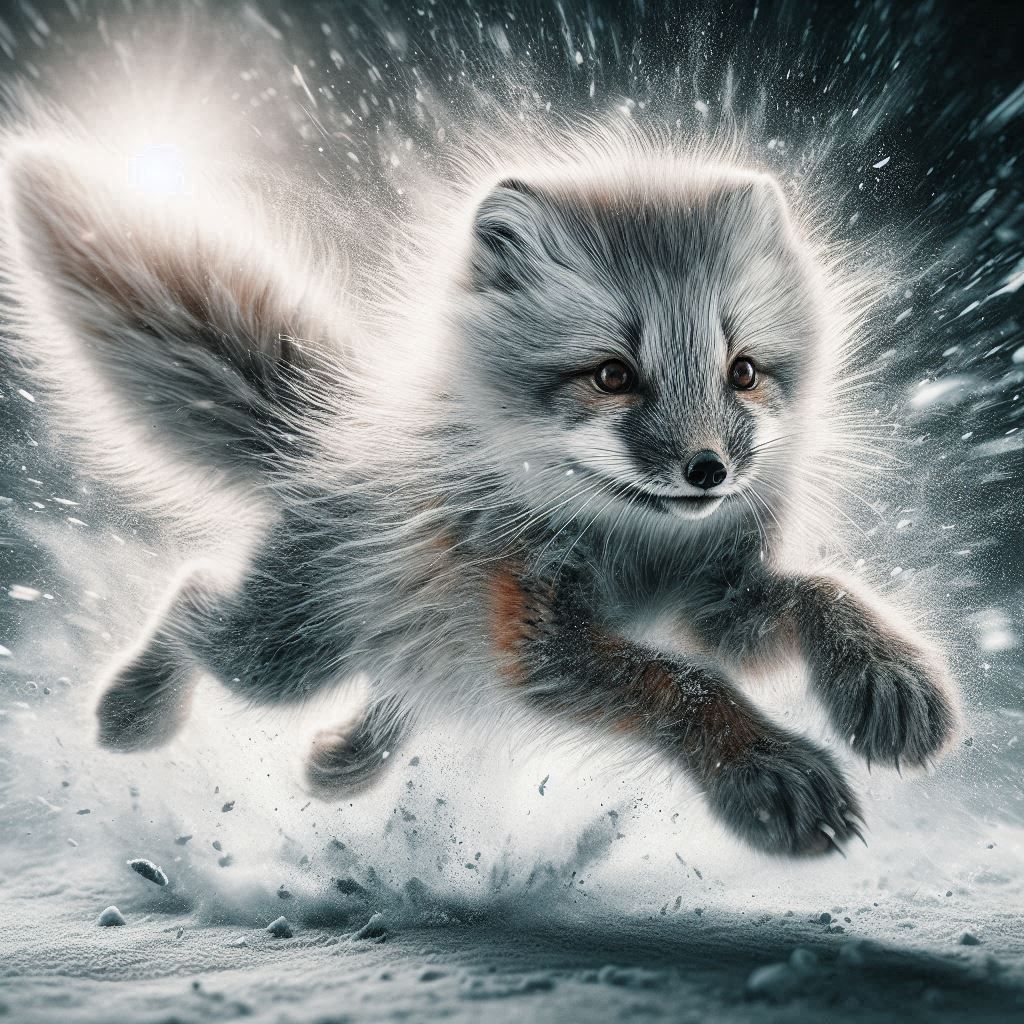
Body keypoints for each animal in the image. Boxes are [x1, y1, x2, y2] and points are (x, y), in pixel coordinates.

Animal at [0, 131, 961, 858]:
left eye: (745, 372)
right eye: (612, 376)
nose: (709, 470)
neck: (637, 548)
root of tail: (323, 442)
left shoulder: (717, 605)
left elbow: (815, 594)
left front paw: (890, 677)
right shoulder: (535, 638)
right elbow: (684, 683)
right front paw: (769, 773)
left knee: (401, 676)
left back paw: (344, 759)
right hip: (282, 658)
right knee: (197, 594)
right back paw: (132, 711)